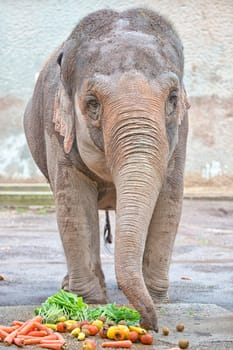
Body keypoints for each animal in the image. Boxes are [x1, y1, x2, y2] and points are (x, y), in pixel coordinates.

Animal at [24, 8, 189, 330]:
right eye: (92, 103)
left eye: (173, 99)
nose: (150, 324)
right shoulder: (55, 127)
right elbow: (73, 204)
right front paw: (88, 301)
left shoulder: (183, 129)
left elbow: (170, 202)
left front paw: (158, 300)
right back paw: (69, 287)